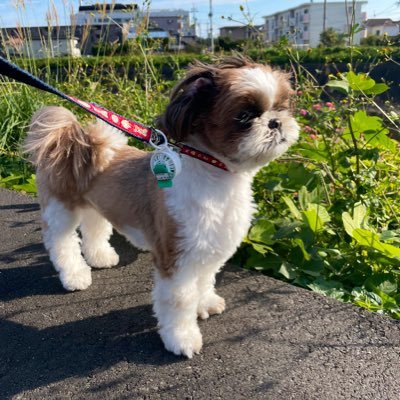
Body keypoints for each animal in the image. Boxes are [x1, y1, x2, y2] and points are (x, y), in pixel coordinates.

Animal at [24, 55, 300, 356]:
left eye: (283, 106)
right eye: (245, 116)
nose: (276, 122)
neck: (217, 175)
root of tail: (73, 139)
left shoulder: (208, 246)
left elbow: (205, 279)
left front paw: (206, 302)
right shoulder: (176, 256)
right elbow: (180, 300)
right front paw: (182, 338)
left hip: (95, 205)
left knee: (94, 228)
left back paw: (100, 257)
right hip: (61, 207)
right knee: (61, 242)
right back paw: (74, 275)